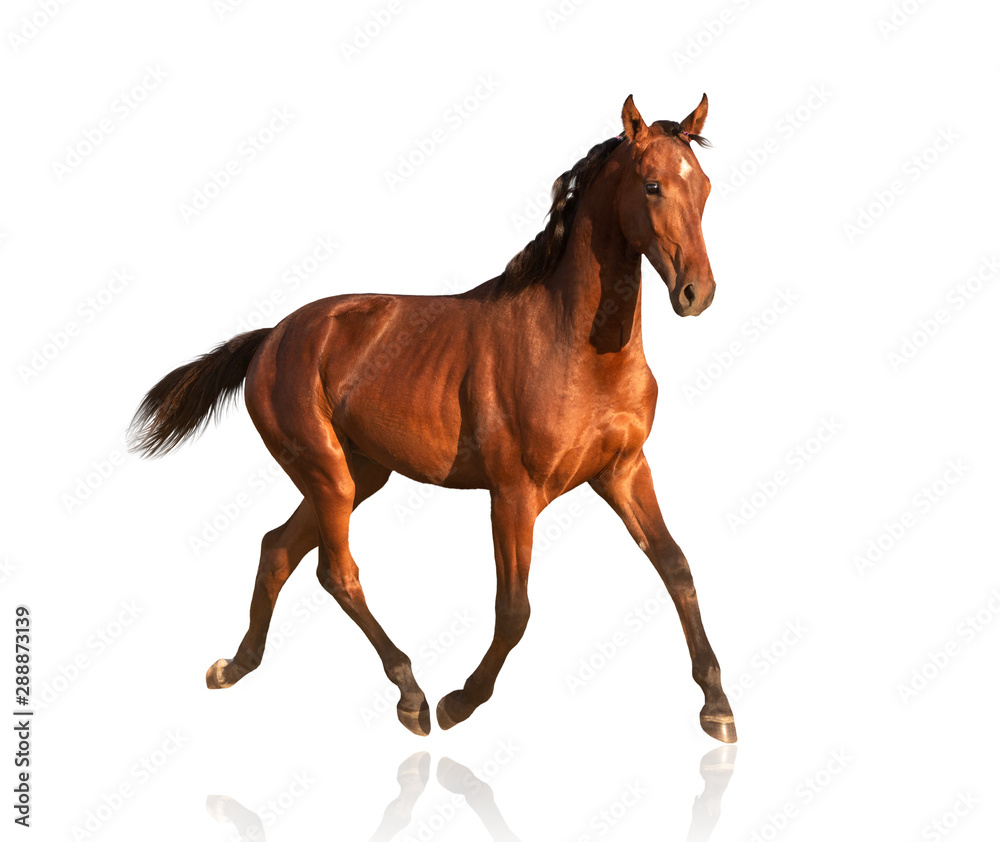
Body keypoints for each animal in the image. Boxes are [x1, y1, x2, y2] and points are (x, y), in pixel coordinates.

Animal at [129, 94, 736, 743]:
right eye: (652, 185)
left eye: (703, 185)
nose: (698, 293)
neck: (573, 345)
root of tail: (272, 337)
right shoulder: (514, 492)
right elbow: (515, 608)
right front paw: (460, 701)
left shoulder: (623, 470)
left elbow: (677, 568)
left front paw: (717, 706)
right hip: (326, 473)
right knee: (335, 572)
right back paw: (411, 694)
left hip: (358, 474)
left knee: (277, 549)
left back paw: (234, 666)